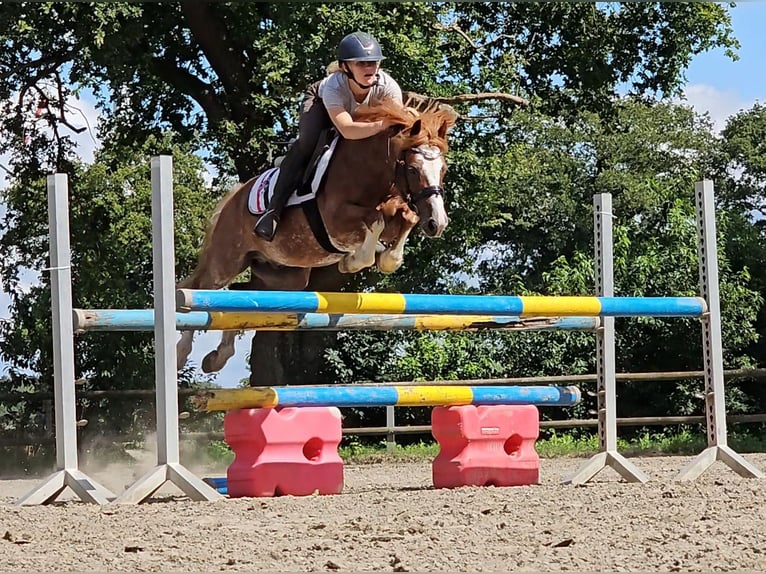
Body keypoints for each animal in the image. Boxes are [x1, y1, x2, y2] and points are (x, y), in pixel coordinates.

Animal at [176, 99, 457, 372]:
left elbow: (407, 218)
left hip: (287, 274)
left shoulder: (395, 210)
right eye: (413, 169)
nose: (438, 223)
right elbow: (374, 221)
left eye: (443, 169)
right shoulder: (335, 219)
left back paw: (218, 357)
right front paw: (352, 262)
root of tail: (233, 197)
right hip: (227, 260)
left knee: (240, 295)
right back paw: (182, 353)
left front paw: (384, 259)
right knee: (198, 288)